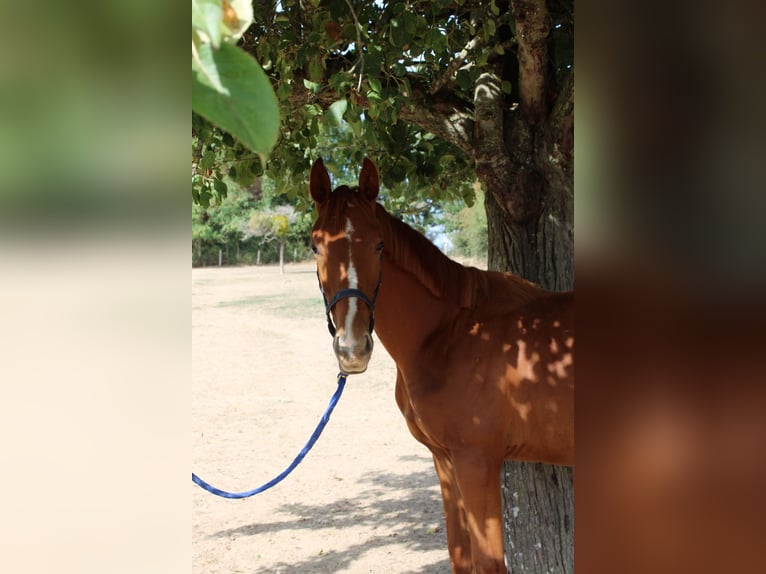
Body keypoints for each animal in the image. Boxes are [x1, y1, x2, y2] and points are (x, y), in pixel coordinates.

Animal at [309, 157, 574, 574]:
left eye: (379, 244)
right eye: (314, 244)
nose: (352, 347)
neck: (449, 332)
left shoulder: (476, 461)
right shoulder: (445, 461)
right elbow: (459, 556)